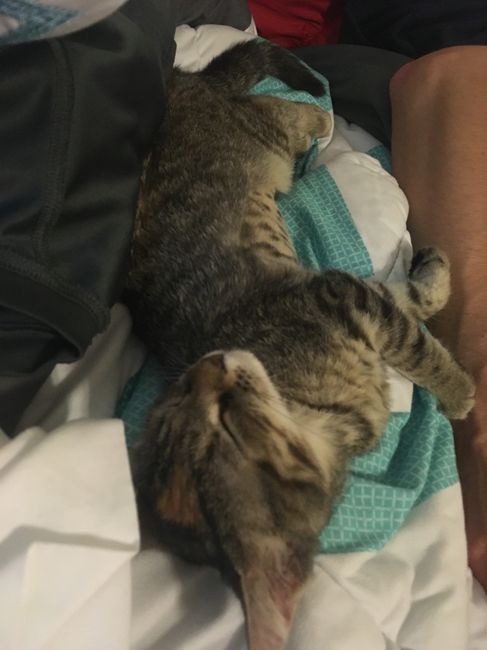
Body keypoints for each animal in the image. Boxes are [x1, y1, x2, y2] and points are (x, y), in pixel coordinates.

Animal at [126, 39, 475, 650]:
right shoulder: (344, 298)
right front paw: (459, 391)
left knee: (269, 98)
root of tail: (179, 84)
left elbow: (413, 320)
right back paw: (321, 117)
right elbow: (412, 328)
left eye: (207, 407)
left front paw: (449, 360)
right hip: (265, 145)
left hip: (258, 138)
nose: (211, 362)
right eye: (191, 396)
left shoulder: (333, 293)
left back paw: (319, 111)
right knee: (271, 108)